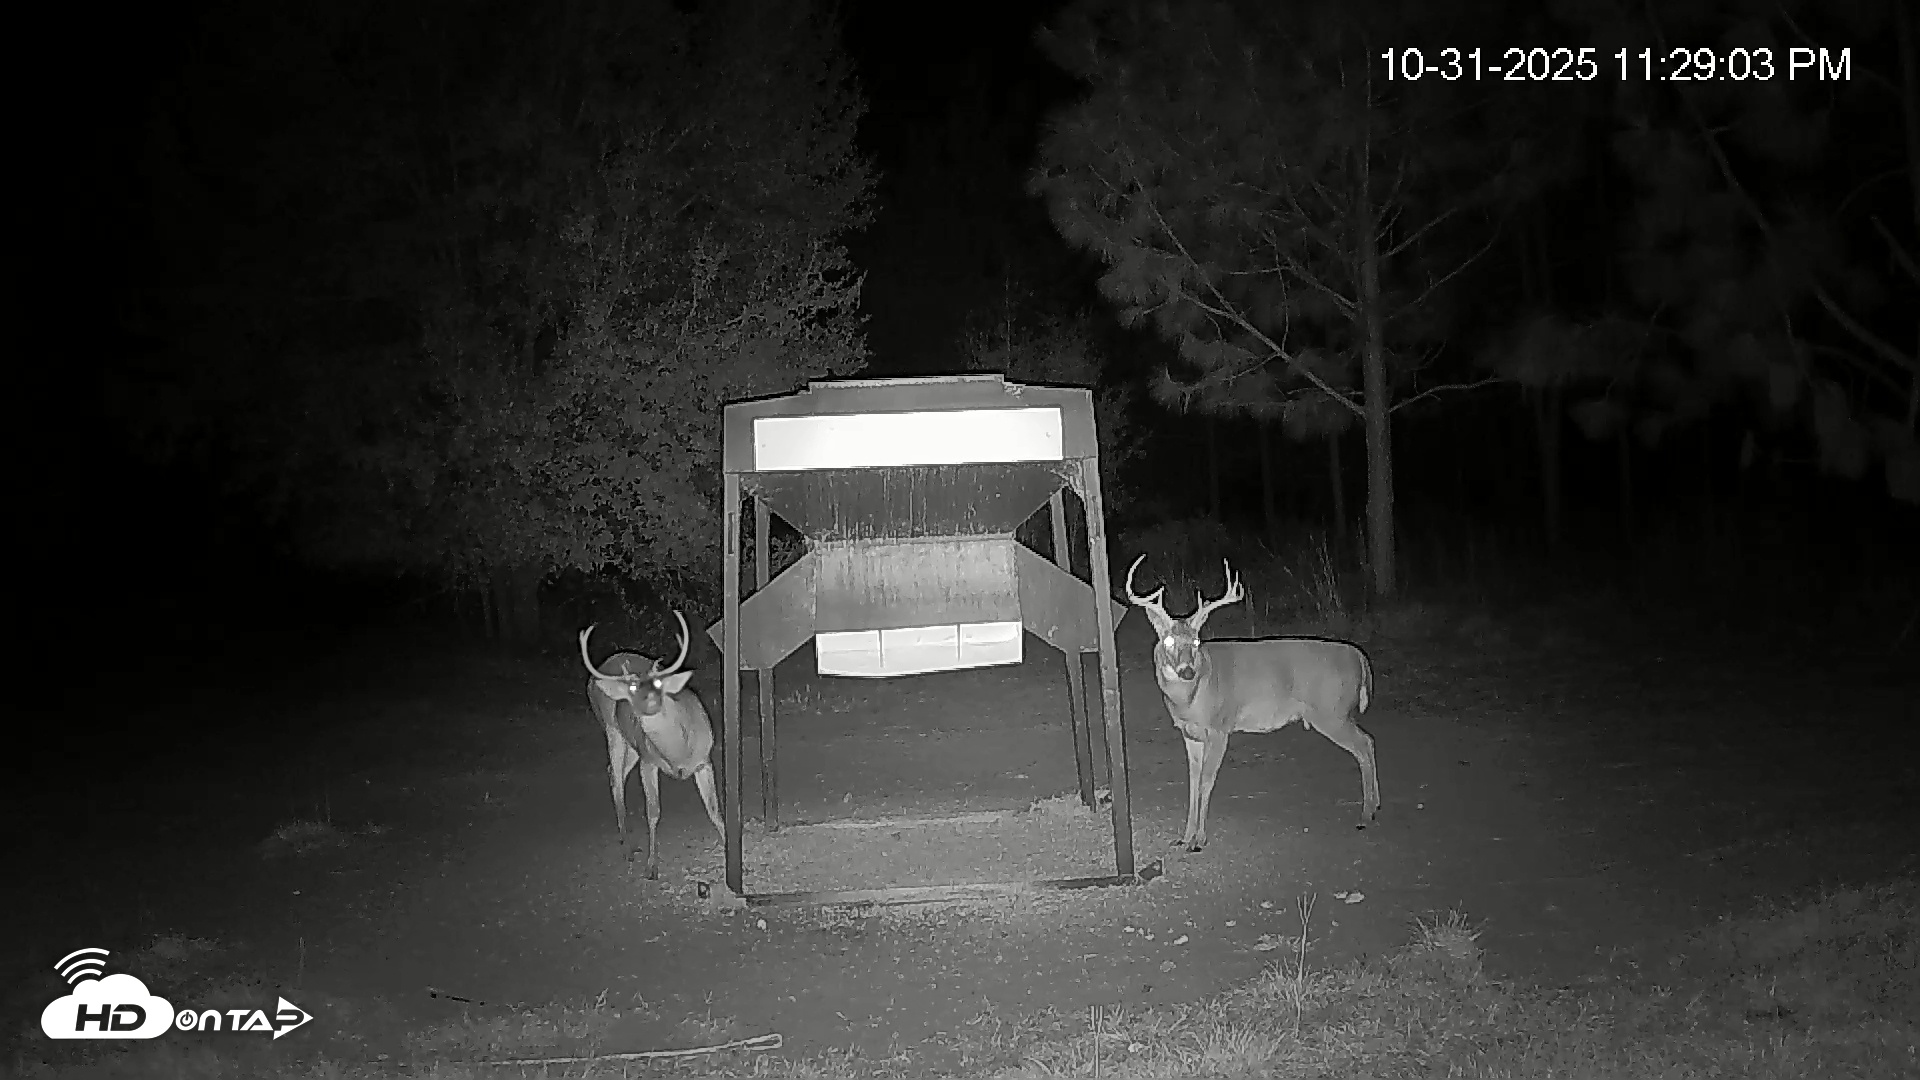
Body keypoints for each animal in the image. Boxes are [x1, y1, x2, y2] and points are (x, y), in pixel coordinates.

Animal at [579, 612, 726, 880]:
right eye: (631, 688)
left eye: (659, 684)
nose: (644, 703)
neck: (678, 752)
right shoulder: (648, 762)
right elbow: (653, 812)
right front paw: (651, 867)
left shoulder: (704, 760)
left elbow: (713, 809)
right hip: (612, 730)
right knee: (616, 778)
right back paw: (627, 848)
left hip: (633, 747)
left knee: (613, 772)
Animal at [1125, 555, 1380, 852]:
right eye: (1167, 641)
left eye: (1197, 641)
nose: (1187, 671)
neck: (1192, 697)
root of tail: (1359, 656)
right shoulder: (1190, 733)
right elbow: (1192, 783)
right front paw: (1184, 837)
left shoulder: (1220, 727)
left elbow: (1206, 783)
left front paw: (1199, 839)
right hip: (1335, 713)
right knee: (1368, 741)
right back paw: (1373, 808)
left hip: (1331, 711)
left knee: (1364, 744)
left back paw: (1366, 814)